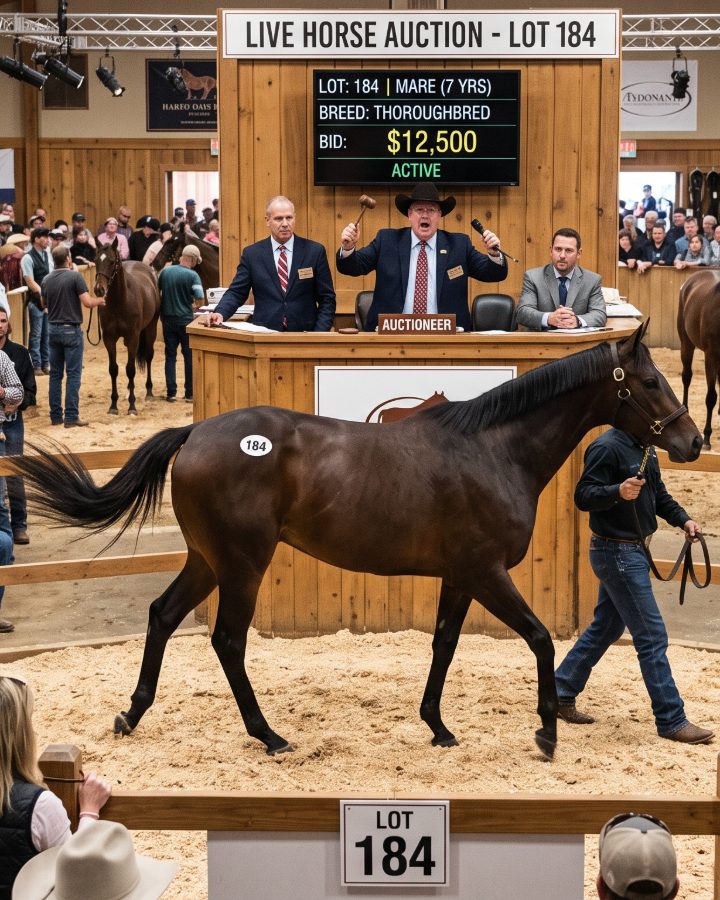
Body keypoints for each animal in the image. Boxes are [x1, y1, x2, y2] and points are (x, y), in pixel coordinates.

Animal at [16, 325, 701, 760]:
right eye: (649, 382)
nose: (692, 441)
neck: (492, 449)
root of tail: (196, 433)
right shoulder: (487, 572)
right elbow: (537, 638)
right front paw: (547, 735)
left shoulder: (460, 576)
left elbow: (444, 646)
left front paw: (438, 727)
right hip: (242, 565)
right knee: (228, 641)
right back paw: (270, 736)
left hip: (208, 561)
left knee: (161, 616)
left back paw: (131, 715)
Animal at [93, 238, 161, 415]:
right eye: (95, 261)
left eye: (112, 261)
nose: (99, 289)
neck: (120, 302)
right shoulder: (109, 338)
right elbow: (113, 369)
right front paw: (113, 405)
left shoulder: (133, 337)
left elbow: (130, 369)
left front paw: (132, 406)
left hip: (151, 328)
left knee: (149, 356)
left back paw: (149, 392)